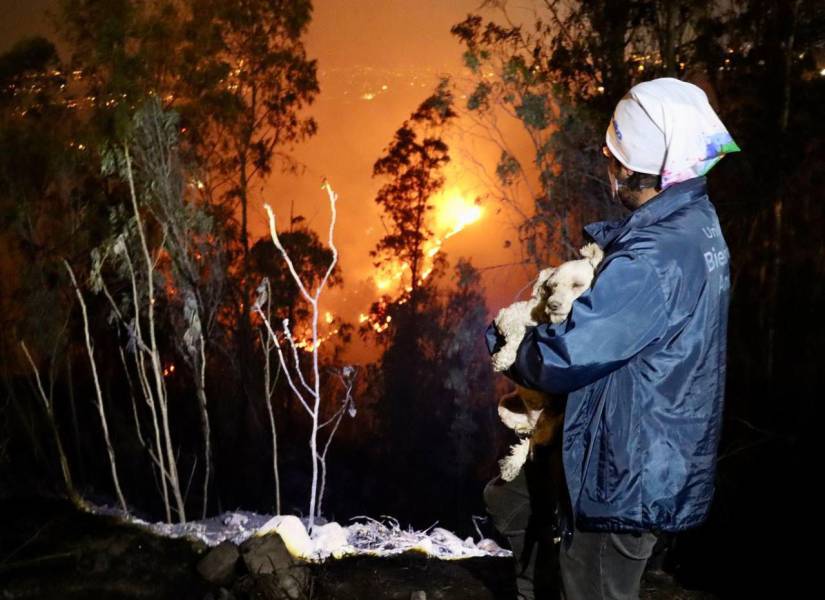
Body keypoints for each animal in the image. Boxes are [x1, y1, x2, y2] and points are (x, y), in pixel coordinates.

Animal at [492, 241, 600, 480]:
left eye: (577, 285)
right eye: (552, 286)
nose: (553, 305)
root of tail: (534, 420)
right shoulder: (508, 315)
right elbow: (517, 331)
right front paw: (504, 358)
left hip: (552, 423)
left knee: (533, 440)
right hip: (505, 407)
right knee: (529, 436)